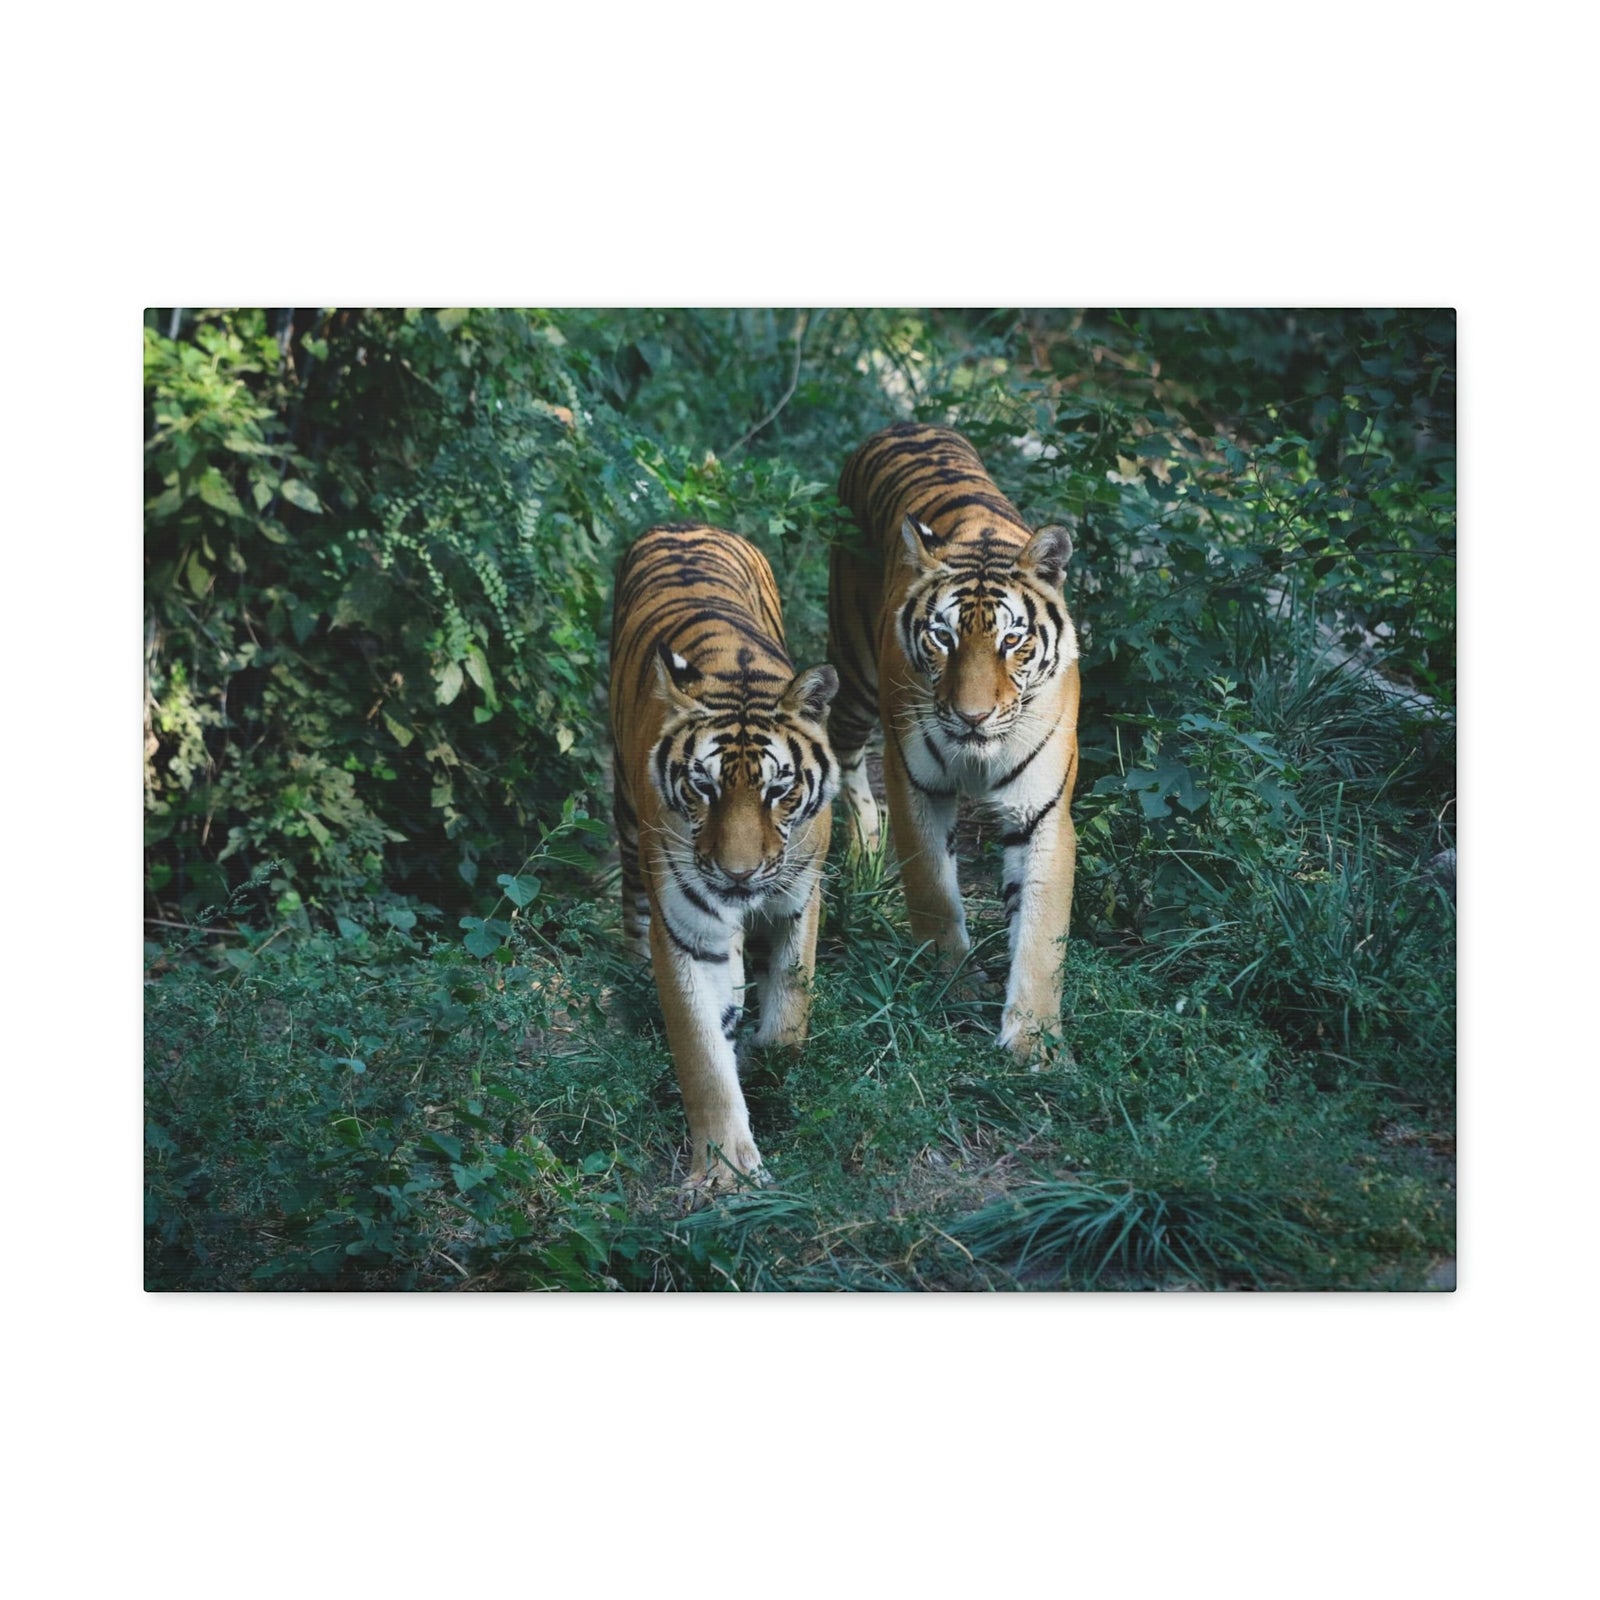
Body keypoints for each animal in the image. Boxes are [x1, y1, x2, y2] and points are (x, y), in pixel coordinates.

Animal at [609, 523, 839, 1190]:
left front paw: (769, 1064)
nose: (738, 875)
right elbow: (702, 1055)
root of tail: (685, 524)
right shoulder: (688, 930)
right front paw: (724, 1172)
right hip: (626, 812)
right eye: (703, 787)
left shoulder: (800, 896)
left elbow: (791, 1009)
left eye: (778, 789)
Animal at [827, 422, 1081, 1059]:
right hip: (855, 673)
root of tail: (904, 424)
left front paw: (1033, 1039)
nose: (972, 716)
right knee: (846, 760)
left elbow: (1041, 932)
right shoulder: (915, 784)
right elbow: (934, 891)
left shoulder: (1042, 811)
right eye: (942, 637)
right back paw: (864, 852)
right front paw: (955, 986)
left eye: (1013, 640)